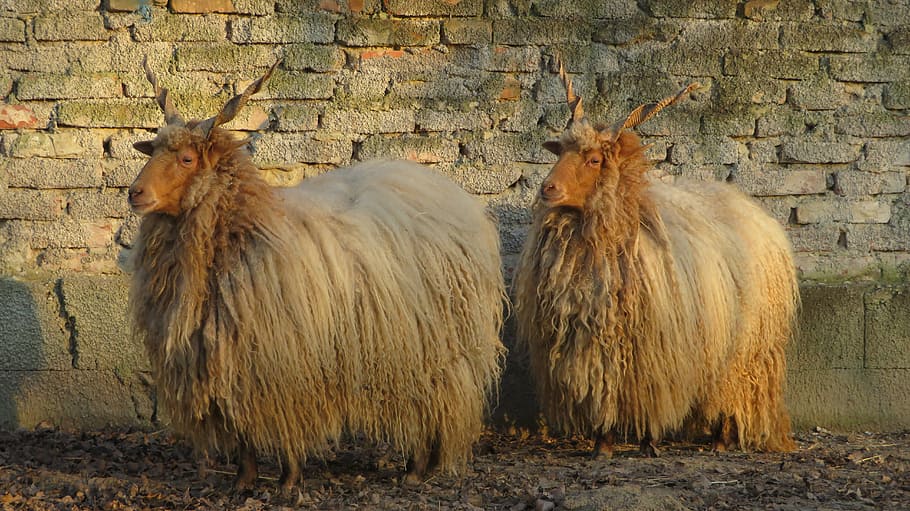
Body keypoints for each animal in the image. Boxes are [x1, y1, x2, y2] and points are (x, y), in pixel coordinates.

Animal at [126, 60, 506, 491]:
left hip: (437, 346)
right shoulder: (230, 359)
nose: (135, 193)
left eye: (188, 159)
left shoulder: (286, 360)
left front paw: (289, 480)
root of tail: (455, 195)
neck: (247, 227)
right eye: (155, 150)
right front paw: (243, 481)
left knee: (431, 403)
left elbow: (286, 420)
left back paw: (415, 468)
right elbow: (242, 432)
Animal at [513, 58, 798, 457]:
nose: (547, 189)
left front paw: (648, 441)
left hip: (745, 349)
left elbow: (648, 392)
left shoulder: (653, 349)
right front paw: (603, 443)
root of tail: (761, 216)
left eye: (595, 159)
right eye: (561, 153)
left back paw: (721, 439)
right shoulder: (596, 345)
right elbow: (606, 391)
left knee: (731, 392)